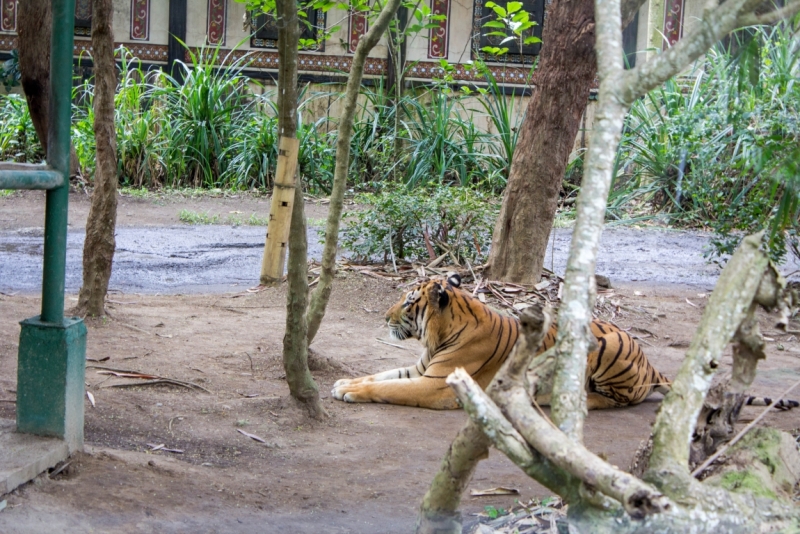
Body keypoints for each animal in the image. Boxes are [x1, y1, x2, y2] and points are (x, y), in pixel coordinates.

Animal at [332, 274, 676, 412]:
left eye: (407, 302)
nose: (383, 317)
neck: (438, 337)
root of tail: (650, 364)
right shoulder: (420, 371)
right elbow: (380, 376)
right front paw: (344, 383)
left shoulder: (436, 385)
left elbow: (389, 387)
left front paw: (351, 392)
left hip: (608, 349)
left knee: (618, 400)